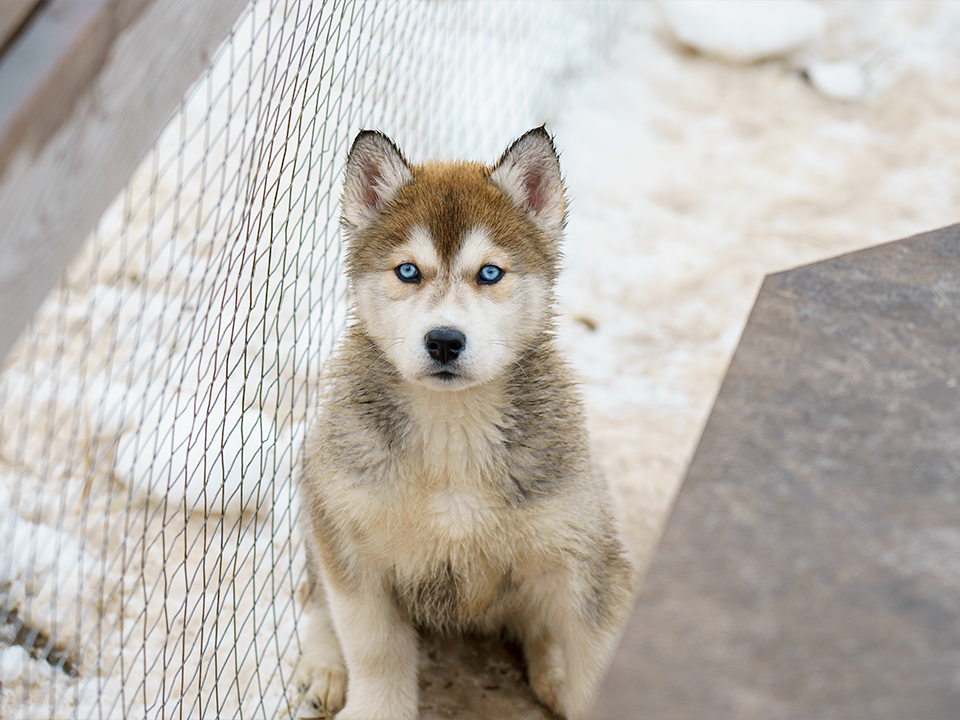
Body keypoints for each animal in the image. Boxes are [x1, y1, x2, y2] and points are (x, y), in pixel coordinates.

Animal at [296, 129, 632, 720]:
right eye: (408, 270)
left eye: (490, 272)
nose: (445, 341)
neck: (452, 433)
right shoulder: (349, 539)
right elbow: (374, 649)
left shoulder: (587, 558)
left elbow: (595, 665)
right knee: (316, 596)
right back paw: (323, 664)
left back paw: (553, 673)